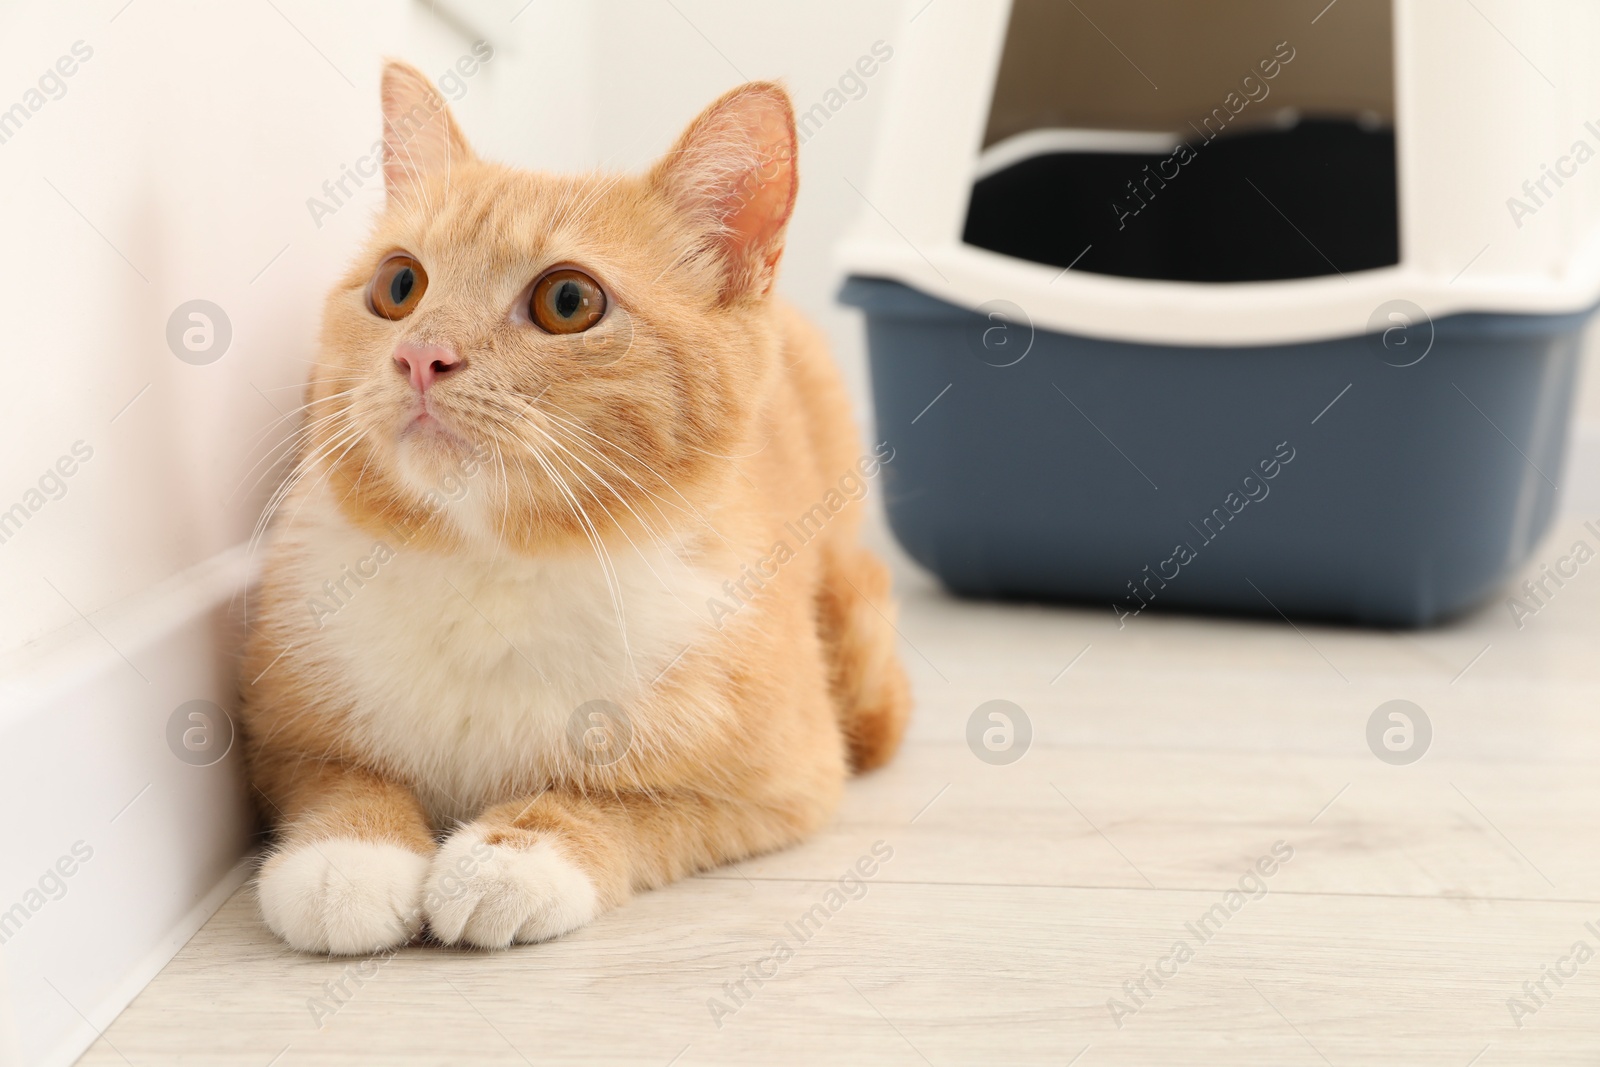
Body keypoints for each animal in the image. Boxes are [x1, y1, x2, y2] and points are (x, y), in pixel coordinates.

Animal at [241, 62, 908, 953]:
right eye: (398, 284)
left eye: (567, 300)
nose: (421, 355)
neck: (489, 570)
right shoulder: (276, 726)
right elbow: (336, 773)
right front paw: (349, 853)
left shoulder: (789, 781)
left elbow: (638, 804)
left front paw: (517, 854)